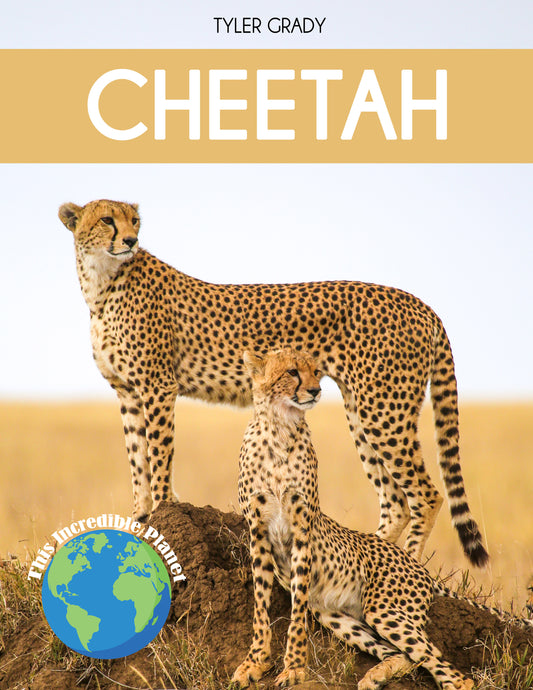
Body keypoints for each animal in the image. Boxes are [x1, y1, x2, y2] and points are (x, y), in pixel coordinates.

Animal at [59, 198, 488, 566]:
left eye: (134, 220)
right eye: (107, 220)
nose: (131, 240)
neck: (101, 283)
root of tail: (421, 304)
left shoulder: (157, 385)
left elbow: (159, 454)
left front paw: (165, 509)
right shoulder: (128, 391)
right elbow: (137, 459)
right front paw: (141, 518)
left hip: (383, 410)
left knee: (426, 495)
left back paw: (406, 565)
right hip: (362, 410)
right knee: (395, 500)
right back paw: (369, 556)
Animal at [232, 347, 531, 690]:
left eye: (316, 372)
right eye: (292, 372)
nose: (315, 390)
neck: (280, 427)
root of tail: (416, 565)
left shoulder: (301, 530)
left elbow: (296, 613)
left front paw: (293, 668)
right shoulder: (258, 532)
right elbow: (260, 605)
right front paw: (255, 663)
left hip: (384, 609)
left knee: (446, 667)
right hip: (336, 616)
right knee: (403, 655)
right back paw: (375, 676)